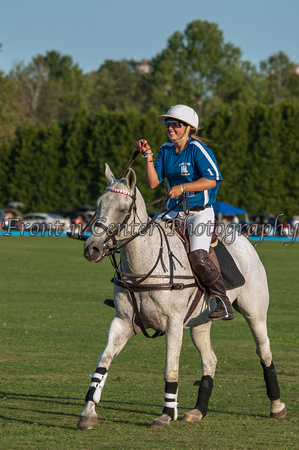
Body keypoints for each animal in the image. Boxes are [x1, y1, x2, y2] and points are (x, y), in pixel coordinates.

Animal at [77, 164, 286, 428]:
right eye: (98, 205)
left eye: (123, 209)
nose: (91, 249)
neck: (143, 268)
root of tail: (242, 237)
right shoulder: (123, 321)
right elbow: (102, 363)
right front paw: (88, 412)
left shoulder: (173, 323)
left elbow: (171, 368)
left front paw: (166, 415)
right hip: (201, 321)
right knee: (210, 360)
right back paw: (198, 410)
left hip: (255, 312)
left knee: (264, 351)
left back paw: (277, 406)